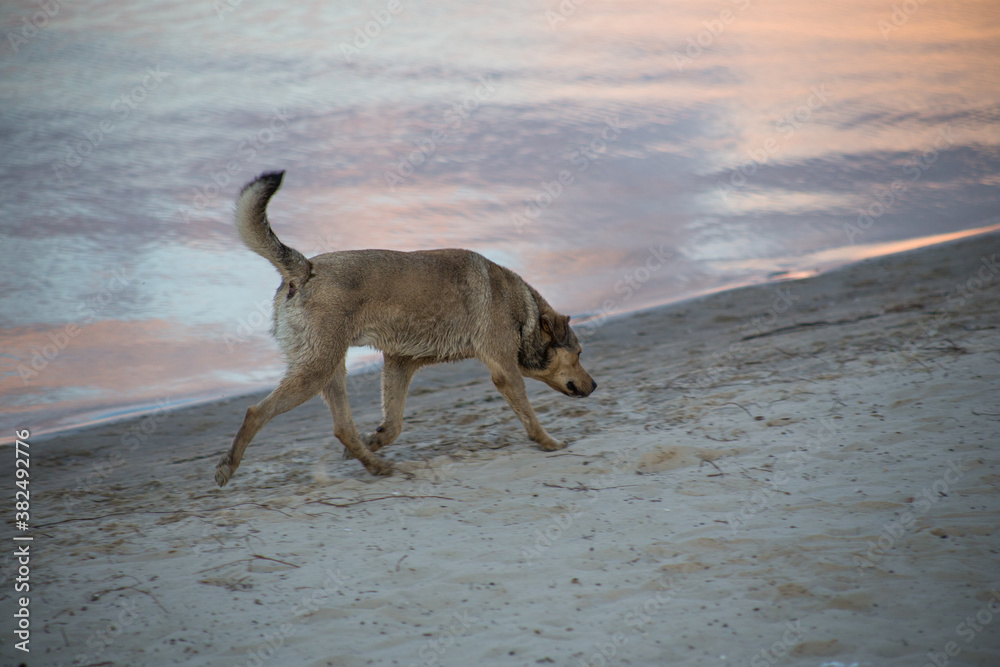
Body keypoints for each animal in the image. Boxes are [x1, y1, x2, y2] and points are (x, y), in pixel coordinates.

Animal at [214, 170, 592, 488]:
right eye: (578, 353)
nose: (596, 385)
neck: (522, 309)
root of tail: (304, 270)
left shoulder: (400, 363)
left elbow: (393, 425)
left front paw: (376, 440)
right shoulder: (505, 372)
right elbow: (530, 417)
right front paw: (549, 442)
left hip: (330, 371)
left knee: (343, 428)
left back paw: (375, 465)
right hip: (315, 371)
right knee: (256, 412)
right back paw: (228, 466)